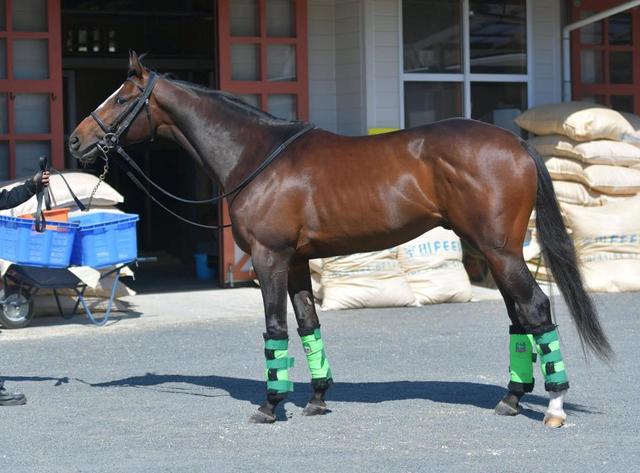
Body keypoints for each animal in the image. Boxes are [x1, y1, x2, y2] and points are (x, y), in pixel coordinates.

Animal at [69, 51, 611, 427]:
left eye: (122, 98)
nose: (76, 141)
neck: (256, 154)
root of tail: (515, 142)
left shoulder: (269, 258)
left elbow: (274, 329)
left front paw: (271, 405)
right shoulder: (295, 262)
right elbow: (308, 324)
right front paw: (317, 398)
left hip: (500, 251)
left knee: (536, 310)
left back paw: (554, 405)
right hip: (492, 251)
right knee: (519, 318)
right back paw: (511, 398)